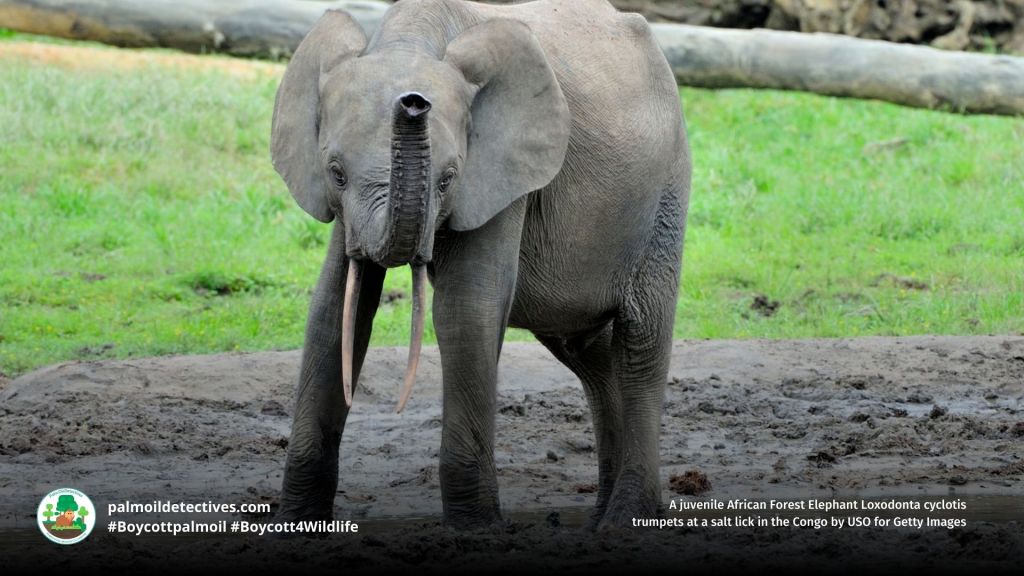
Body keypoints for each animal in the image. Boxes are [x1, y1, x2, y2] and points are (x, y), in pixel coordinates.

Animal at [270, 0, 691, 530]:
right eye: (336, 173)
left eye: (449, 178)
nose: (413, 104)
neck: (412, 41)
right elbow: (334, 310)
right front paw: (297, 521)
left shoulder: (505, 176)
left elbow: (465, 311)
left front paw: (476, 528)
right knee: (588, 351)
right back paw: (605, 517)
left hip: (666, 190)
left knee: (640, 345)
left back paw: (624, 520)